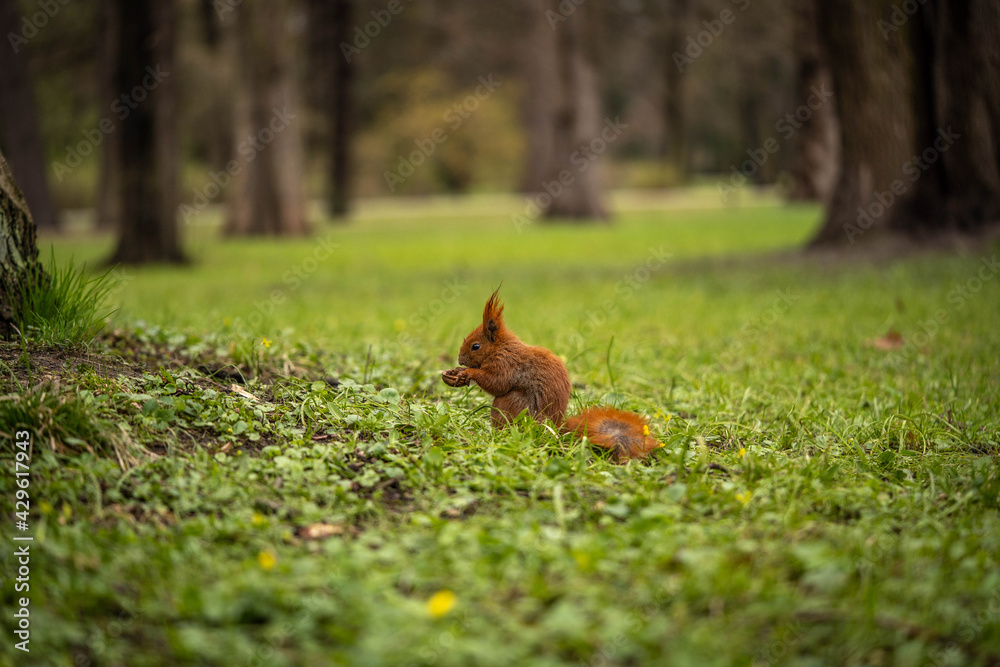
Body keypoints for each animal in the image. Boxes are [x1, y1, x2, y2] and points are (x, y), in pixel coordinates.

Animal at [441, 289, 662, 463]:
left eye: (475, 346)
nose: (460, 360)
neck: (500, 348)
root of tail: (553, 428)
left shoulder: (506, 364)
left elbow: (497, 383)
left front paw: (468, 373)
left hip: (509, 406)